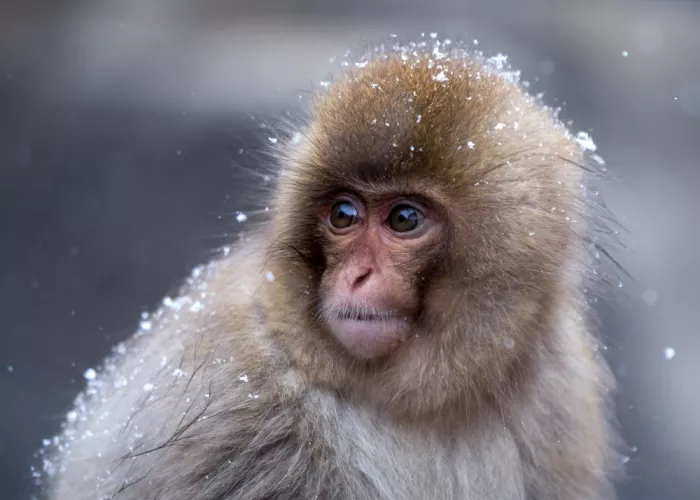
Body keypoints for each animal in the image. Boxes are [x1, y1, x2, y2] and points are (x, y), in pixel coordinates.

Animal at [36, 40, 622, 500]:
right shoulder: (229, 407)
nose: (357, 277)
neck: (416, 404)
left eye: (404, 219)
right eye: (344, 214)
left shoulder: (561, 394)